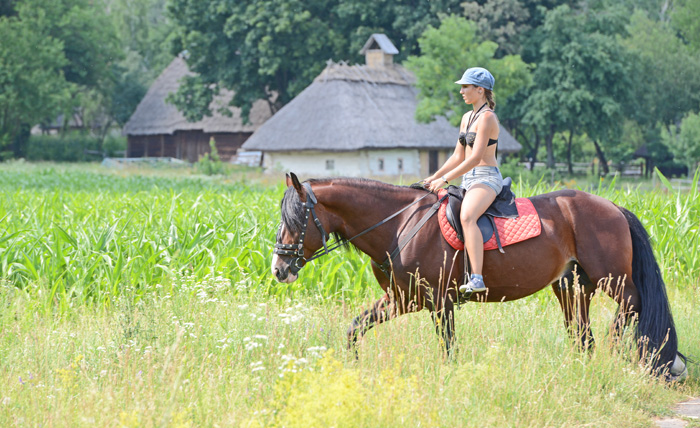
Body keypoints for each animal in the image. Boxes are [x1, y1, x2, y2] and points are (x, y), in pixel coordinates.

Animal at [270, 172, 688, 380]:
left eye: (297, 217)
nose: (278, 269)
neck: (399, 225)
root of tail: (613, 206)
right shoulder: (403, 300)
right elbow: (355, 327)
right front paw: (353, 367)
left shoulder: (439, 301)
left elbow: (448, 346)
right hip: (571, 286)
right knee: (583, 334)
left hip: (610, 278)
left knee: (632, 305)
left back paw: (626, 348)